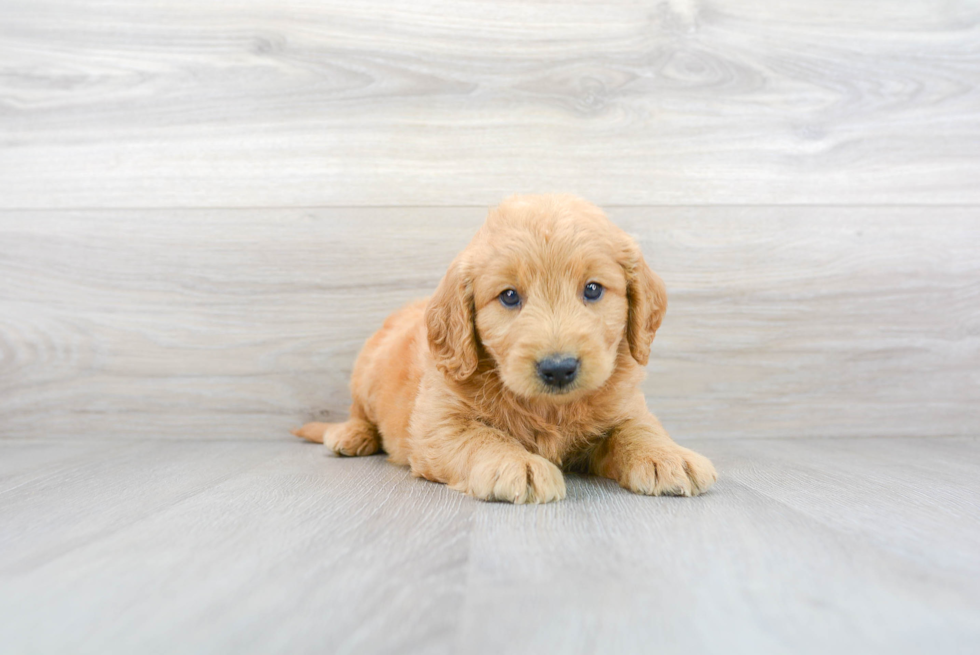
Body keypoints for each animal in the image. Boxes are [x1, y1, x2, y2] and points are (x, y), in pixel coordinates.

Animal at [294, 193, 716, 502]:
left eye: (593, 289)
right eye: (509, 296)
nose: (559, 369)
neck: (549, 409)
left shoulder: (626, 406)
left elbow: (639, 429)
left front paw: (668, 456)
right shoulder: (439, 424)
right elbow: (482, 437)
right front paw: (518, 464)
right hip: (365, 373)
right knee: (359, 412)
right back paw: (351, 435)